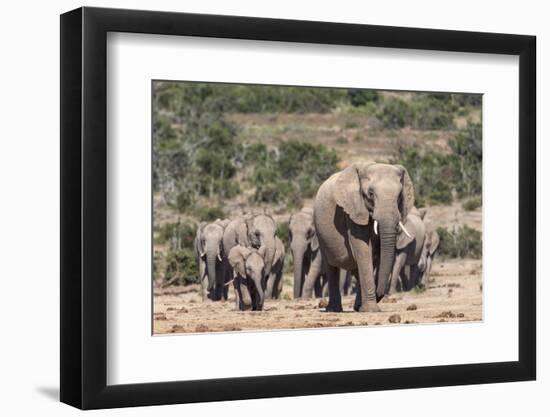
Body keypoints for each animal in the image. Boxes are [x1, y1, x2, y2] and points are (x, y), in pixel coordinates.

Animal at [312, 161, 416, 310]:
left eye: (399, 196)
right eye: (370, 194)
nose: (380, 294)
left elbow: (377, 254)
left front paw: (365, 307)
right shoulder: (352, 210)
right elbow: (363, 249)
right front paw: (371, 310)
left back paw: (357, 306)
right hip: (320, 230)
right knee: (332, 267)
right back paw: (334, 309)